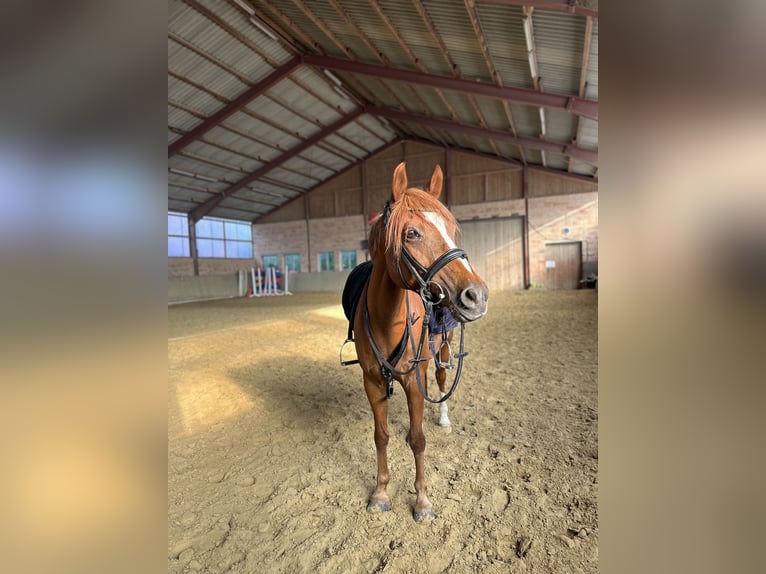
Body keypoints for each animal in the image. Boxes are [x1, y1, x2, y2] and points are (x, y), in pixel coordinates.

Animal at [341, 162, 488, 521]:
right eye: (412, 233)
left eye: (450, 229)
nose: (477, 295)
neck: (387, 319)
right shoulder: (372, 381)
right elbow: (381, 436)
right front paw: (380, 492)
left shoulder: (414, 380)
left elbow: (418, 438)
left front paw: (422, 500)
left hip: (444, 347)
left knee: (442, 378)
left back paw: (444, 417)